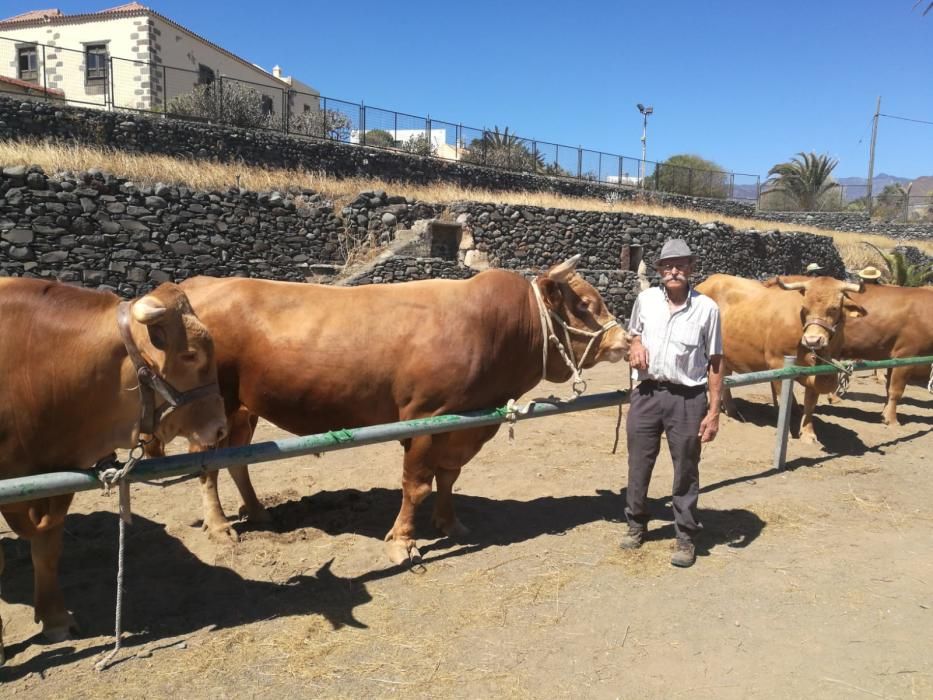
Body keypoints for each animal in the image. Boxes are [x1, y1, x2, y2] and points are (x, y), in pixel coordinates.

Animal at [151, 256, 628, 564]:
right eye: (585, 304)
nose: (625, 340)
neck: (494, 328)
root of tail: (196, 285)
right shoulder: (425, 418)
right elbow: (416, 484)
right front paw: (403, 541)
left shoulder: (464, 425)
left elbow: (448, 477)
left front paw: (449, 523)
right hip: (216, 409)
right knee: (207, 464)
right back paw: (219, 526)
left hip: (245, 409)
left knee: (238, 460)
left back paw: (259, 512)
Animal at [696, 274, 864, 442]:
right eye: (805, 308)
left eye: (833, 308)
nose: (812, 340)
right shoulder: (778, 363)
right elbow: (783, 399)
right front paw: (787, 433)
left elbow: (810, 403)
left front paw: (808, 434)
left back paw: (732, 411)